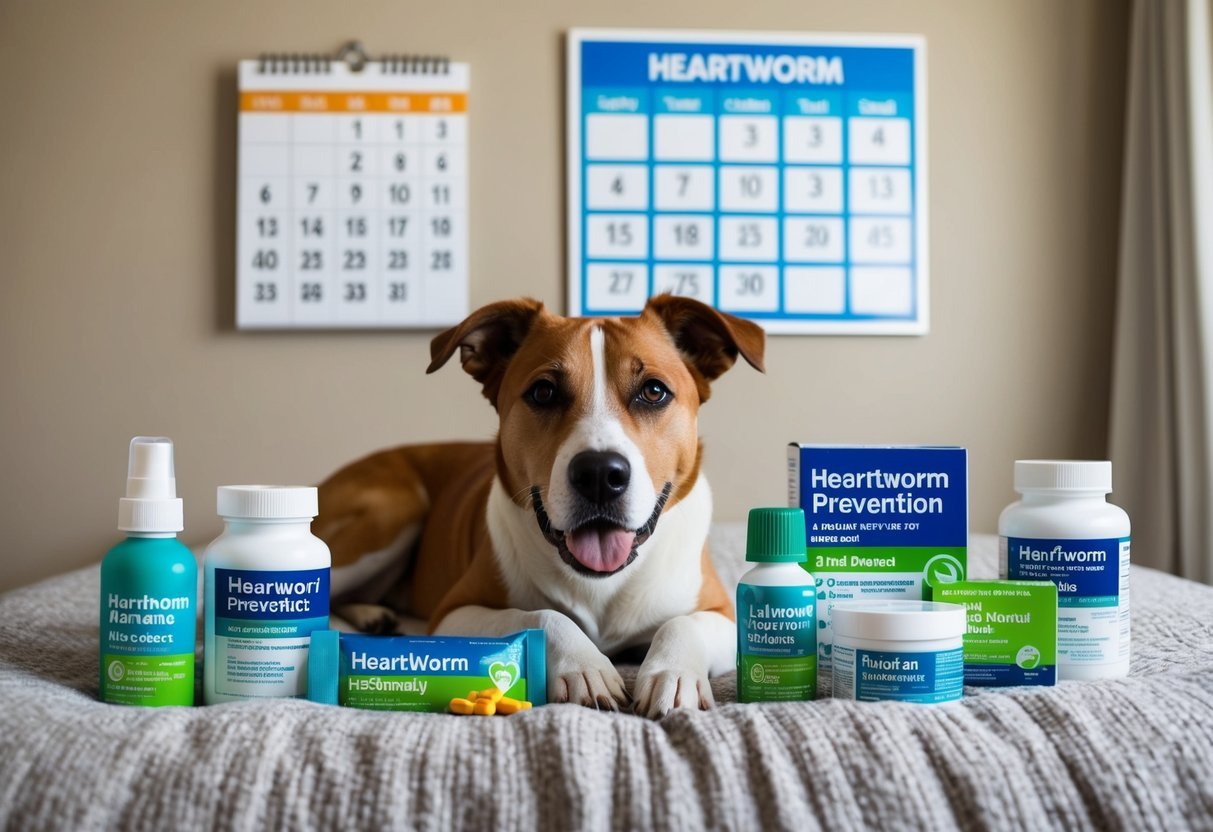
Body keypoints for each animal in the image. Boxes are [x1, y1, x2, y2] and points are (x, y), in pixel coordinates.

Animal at [317, 298, 761, 717]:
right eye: (543, 392)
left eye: (653, 391)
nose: (599, 474)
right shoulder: (453, 612)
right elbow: (541, 615)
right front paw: (584, 665)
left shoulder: (725, 615)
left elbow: (682, 624)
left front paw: (672, 672)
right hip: (393, 511)